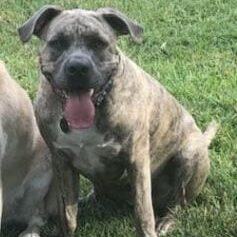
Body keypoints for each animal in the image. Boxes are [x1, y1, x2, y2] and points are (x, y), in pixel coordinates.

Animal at [19, 5, 218, 237]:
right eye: (57, 42)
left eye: (99, 43)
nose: (78, 67)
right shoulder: (61, 162)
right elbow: (67, 214)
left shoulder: (136, 161)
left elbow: (143, 213)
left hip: (188, 155)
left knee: (177, 202)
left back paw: (167, 220)